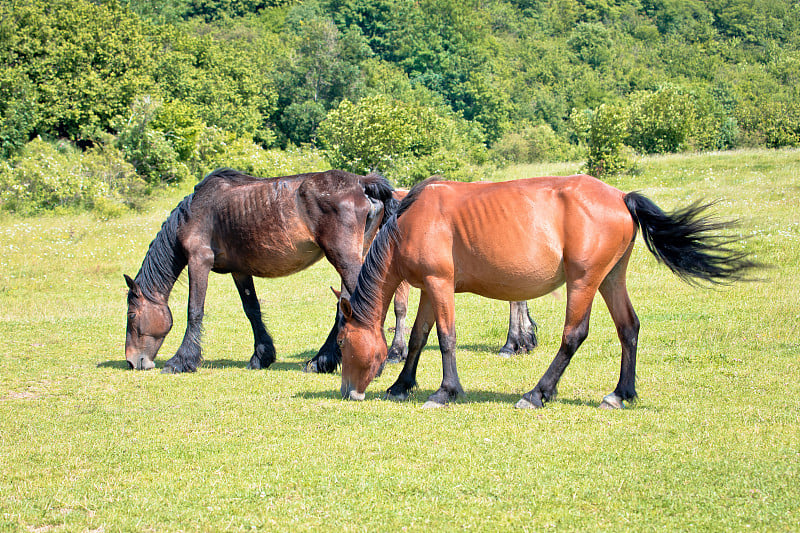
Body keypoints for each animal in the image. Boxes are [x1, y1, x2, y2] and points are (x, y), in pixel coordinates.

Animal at [123, 168, 396, 372]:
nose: (132, 361)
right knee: (344, 304)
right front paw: (262, 356)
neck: (196, 211)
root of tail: (362, 183)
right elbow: (252, 310)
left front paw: (181, 361)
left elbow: (194, 310)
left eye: (131, 315)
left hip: (344, 258)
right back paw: (321, 361)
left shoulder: (199, 261)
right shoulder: (240, 271)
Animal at [336, 175, 756, 408]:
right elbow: (420, 337)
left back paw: (538, 393)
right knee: (629, 328)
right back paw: (620, 394)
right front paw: (401, 385)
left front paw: (445, 391)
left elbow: (446, 338)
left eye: (341, 343)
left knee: (574, 335)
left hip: (584, 281)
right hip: (611, 279)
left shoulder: (440, 284)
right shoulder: (429, 287)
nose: (347, 392)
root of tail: (621, 197)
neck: (410, 220)